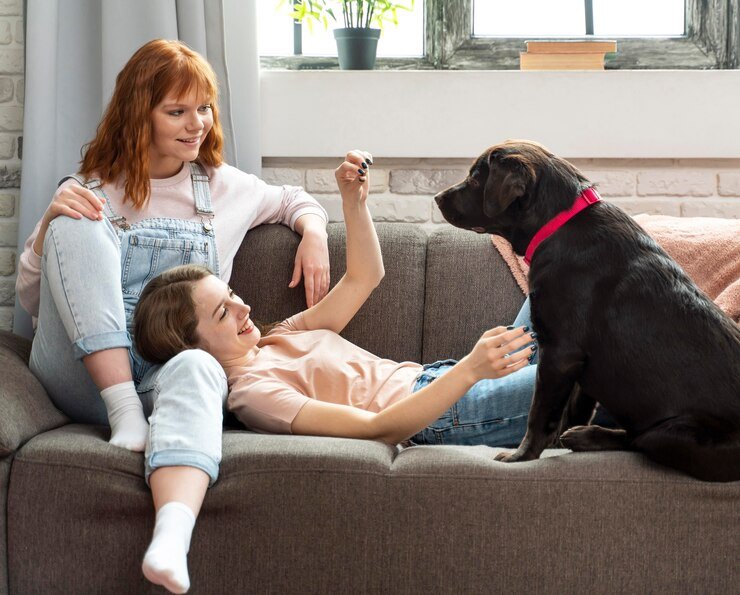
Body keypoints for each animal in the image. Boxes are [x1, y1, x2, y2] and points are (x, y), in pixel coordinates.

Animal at [436, 141, 736, 484]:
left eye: (475, 179)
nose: (437, 198)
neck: (559, 223)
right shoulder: (582, 362)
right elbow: (573, 407)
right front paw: (556, 442)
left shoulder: (559, 353)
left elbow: (540, 414)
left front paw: (521, 456)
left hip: (674, 433)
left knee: (638, 440)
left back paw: (588, 436)